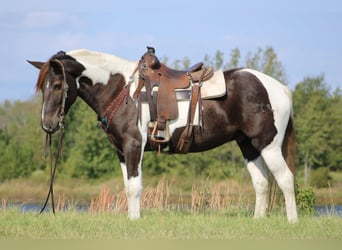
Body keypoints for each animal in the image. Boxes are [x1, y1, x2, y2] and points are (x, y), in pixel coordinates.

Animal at [28, 47, 298, 222]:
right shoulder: (121, 152)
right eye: (42, 87)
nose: (48, 125)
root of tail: (280, 88)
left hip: (268, 145)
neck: (123, 92)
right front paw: (132, 219)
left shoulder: (134, 146)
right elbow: (128, 186)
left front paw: (134, 222)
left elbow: (134, 187)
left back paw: (292, 221)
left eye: (57, 85)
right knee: (262, 183)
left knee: (285, 179)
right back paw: (258, 221)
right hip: (249, 146)